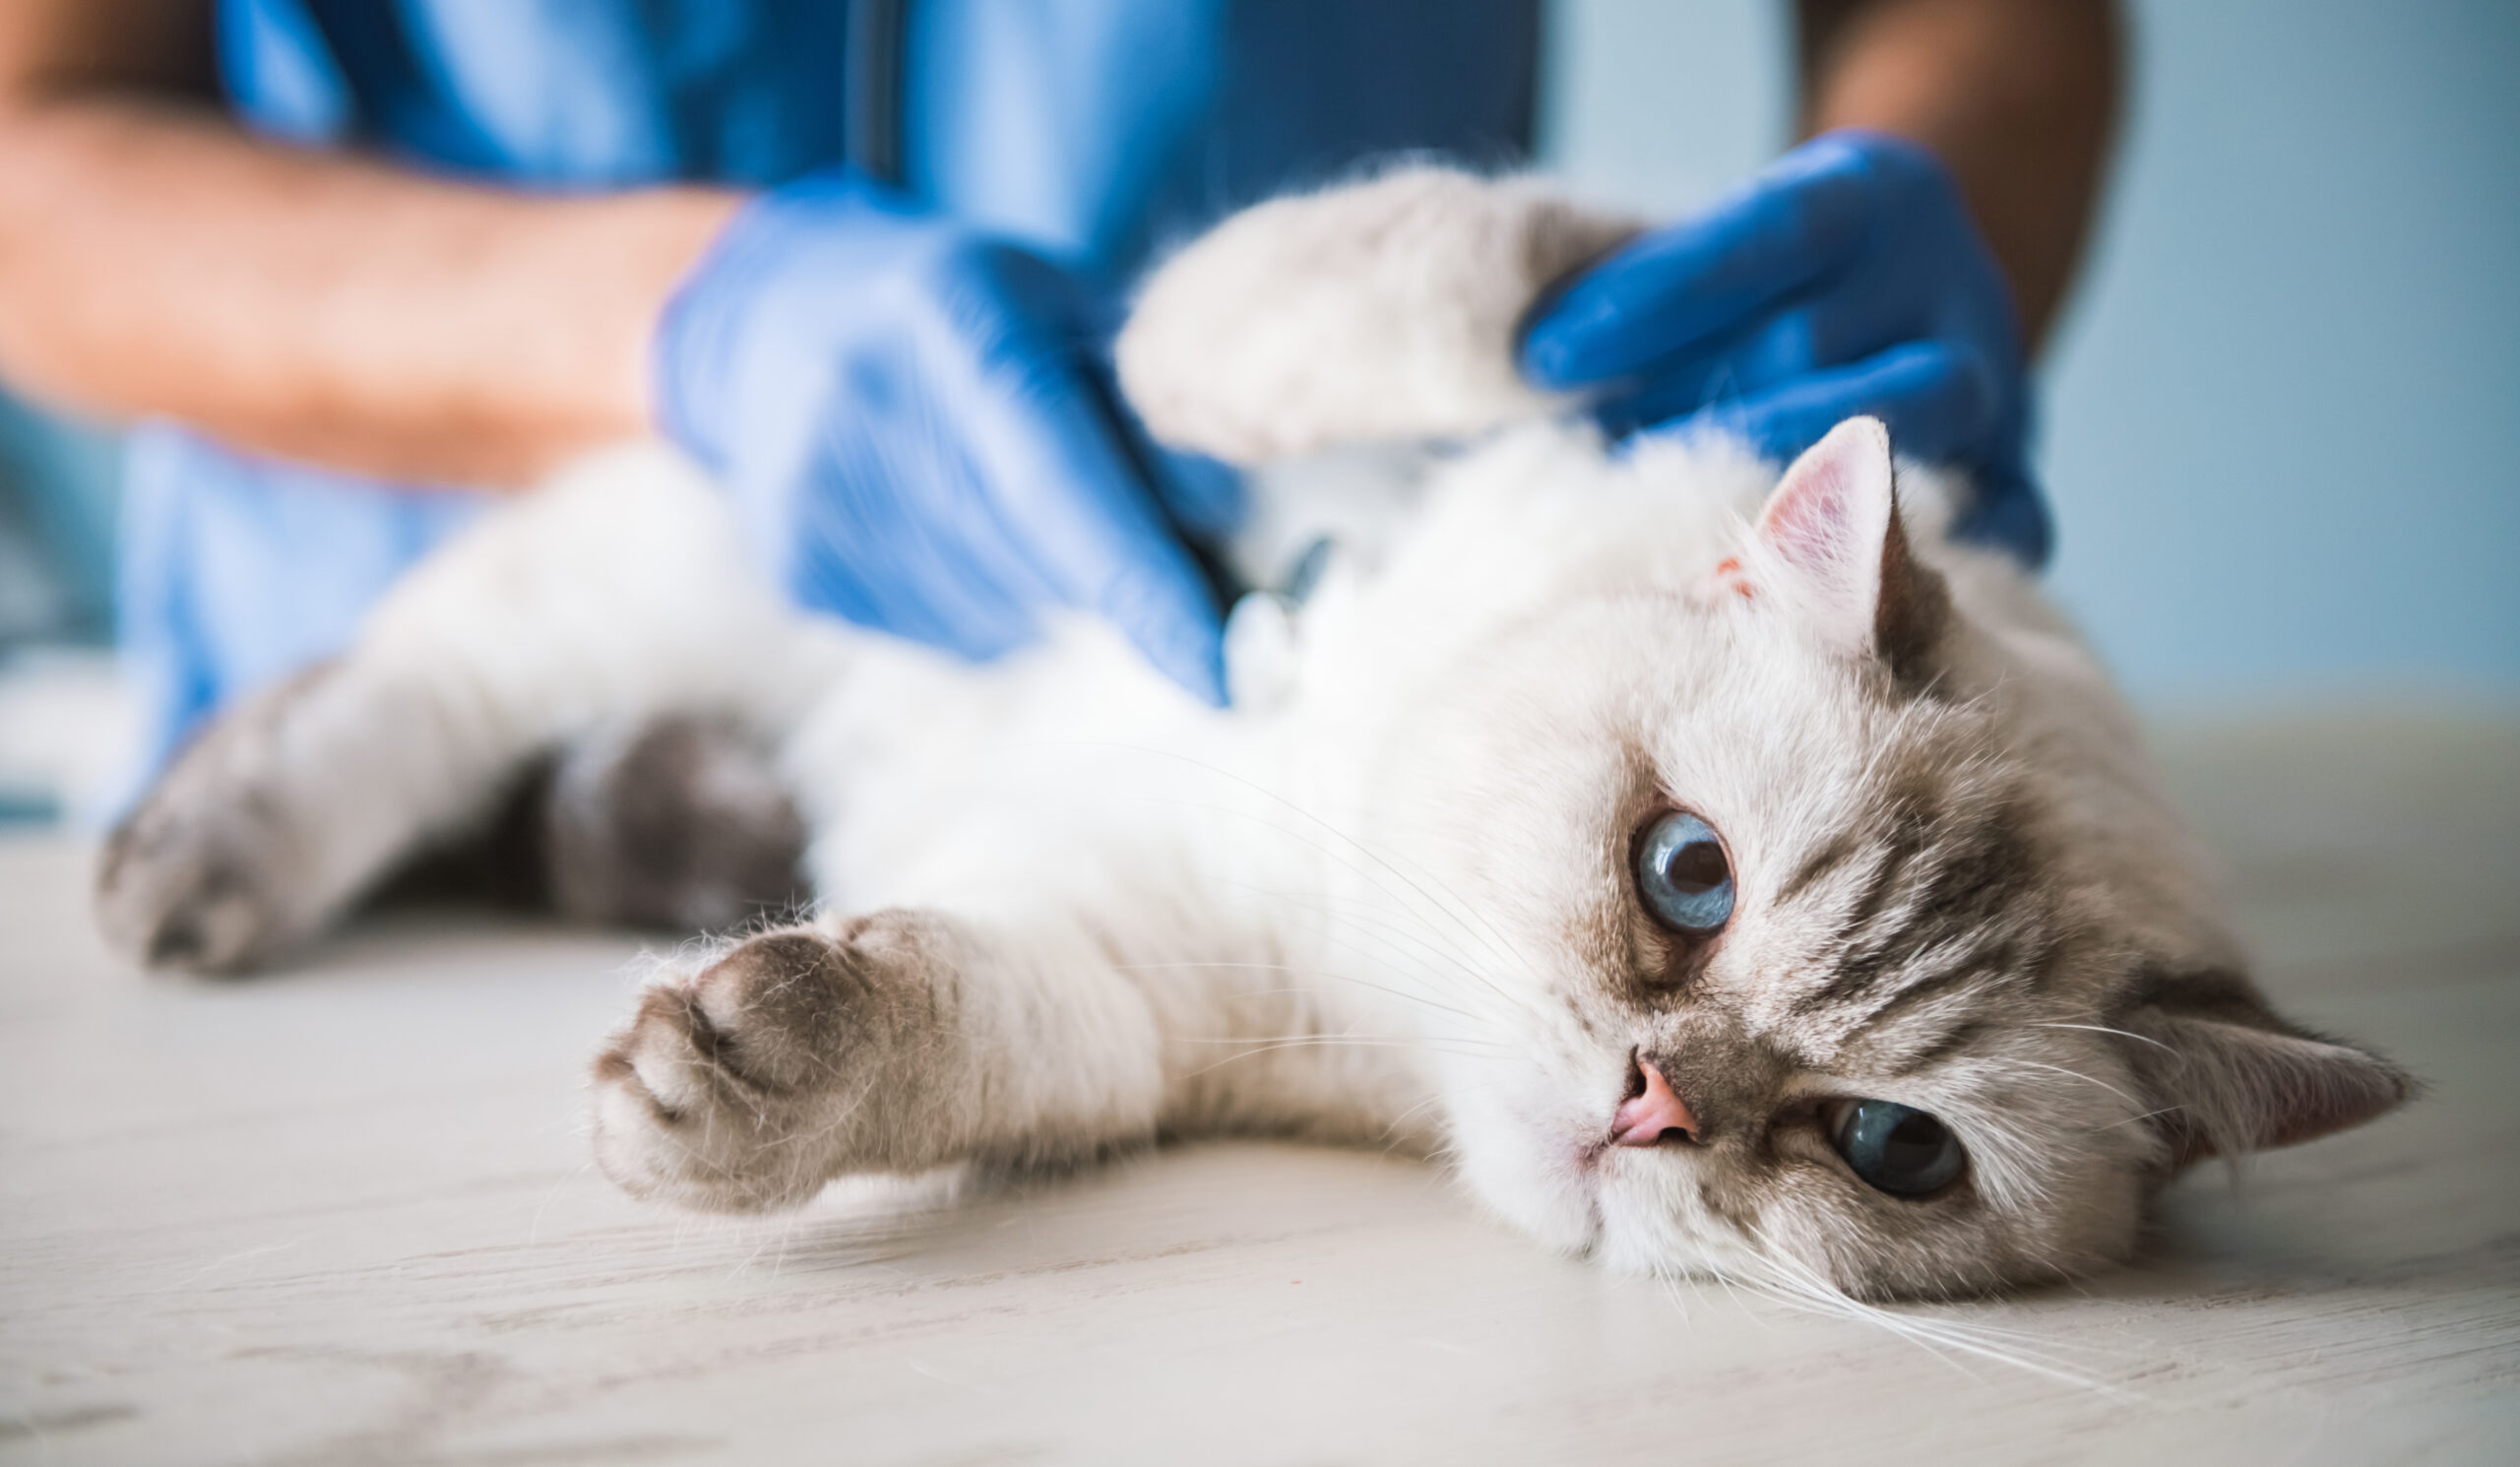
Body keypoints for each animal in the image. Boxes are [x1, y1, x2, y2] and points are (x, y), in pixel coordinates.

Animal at [89, 165, 2409, 1301]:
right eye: (1687, 878)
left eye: (1887, 1151)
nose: (1652, 1107)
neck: (1355, 791)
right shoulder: (1461, 333)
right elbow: (1467, 284)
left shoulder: (1123, 981)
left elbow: (914, 1020)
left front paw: (732, 1077)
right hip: (671, 566)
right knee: (386, 701)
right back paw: (179, 878)